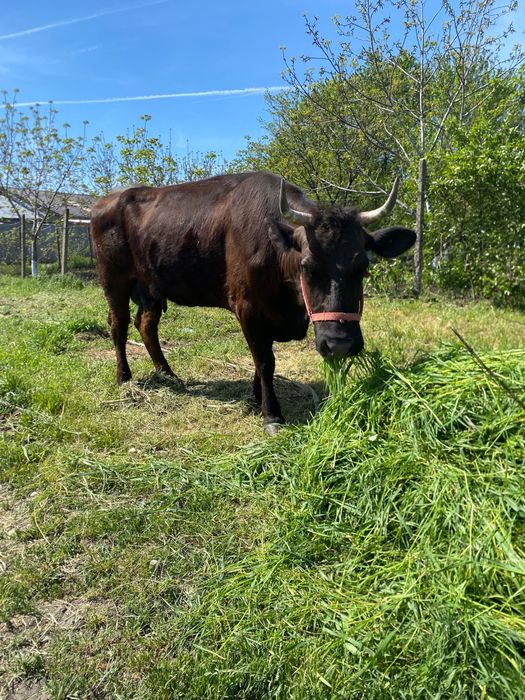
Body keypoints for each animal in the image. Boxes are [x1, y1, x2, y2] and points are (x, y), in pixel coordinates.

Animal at [90, 171, 416, 433]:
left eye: (363, 266)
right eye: (307, 266)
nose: (340, 345)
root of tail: (106, 200)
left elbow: (262, 361)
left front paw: (257, 397)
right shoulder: (247, 308)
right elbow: (265, 360)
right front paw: (271, 414)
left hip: (151, 286)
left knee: (146, 325)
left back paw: (168, 374)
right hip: (114, 280)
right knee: (118, 325)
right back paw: (125, 377)